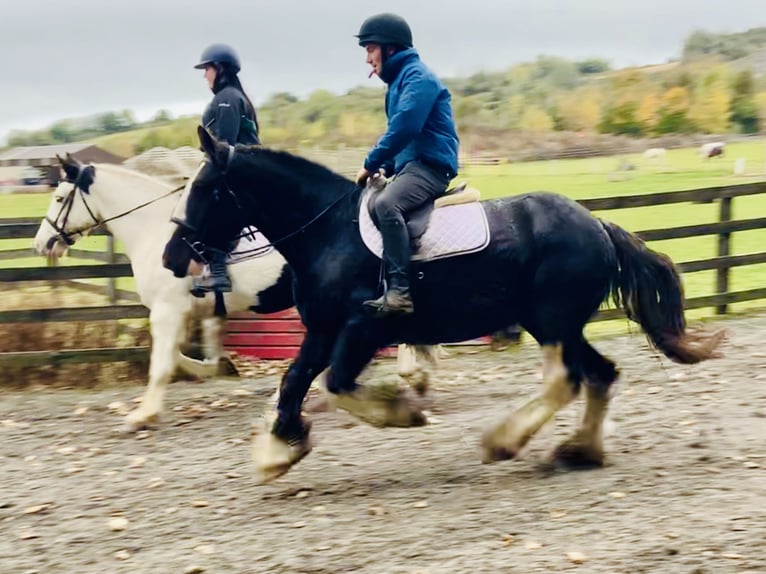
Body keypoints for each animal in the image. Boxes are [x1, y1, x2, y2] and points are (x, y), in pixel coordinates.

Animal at [162, 128, 728, 484]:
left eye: (207, 188)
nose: (172, 257)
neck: (328, 232)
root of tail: (597, 225)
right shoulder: (322, 330)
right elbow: (294, 382)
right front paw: (279, 449)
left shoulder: (361, 330)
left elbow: (336, 385)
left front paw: (401, 413)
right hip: (559, 323)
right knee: (600, 373)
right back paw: (579, 451)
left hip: (551, 320)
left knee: (566, 379)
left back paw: (505, 441)